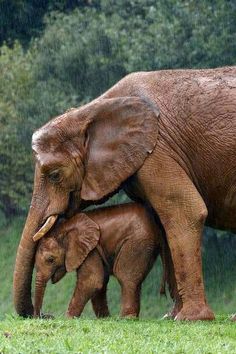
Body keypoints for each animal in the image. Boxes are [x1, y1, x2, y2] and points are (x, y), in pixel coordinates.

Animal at [33, 202, 162, 318]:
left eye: (50, 259)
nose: (45, 315)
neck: (64, 228)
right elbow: (101, 281)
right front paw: (105, 319)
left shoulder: (91, 249)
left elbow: (91, 281)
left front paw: (68, 319)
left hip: (138, 241)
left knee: (126, 277)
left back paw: (127, 319)